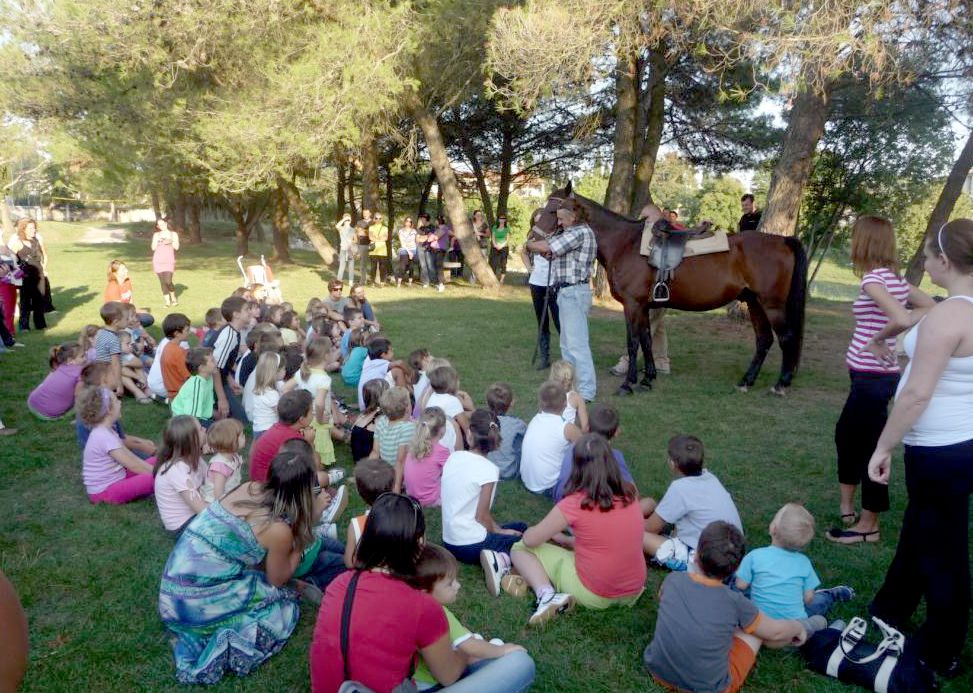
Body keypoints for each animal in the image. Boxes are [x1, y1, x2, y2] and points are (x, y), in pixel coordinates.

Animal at [532, 182, 804, 394]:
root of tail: (783, 241)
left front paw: (628, 383)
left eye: (554, 209)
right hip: (755, 303)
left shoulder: (632, 305)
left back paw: (780, 384)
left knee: (786, 338)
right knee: (764, 340)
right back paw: (746, 382)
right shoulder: (644, 306)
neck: (625, 243)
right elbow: (646, 339)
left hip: (772, 305)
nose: (532, 242)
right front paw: (648, 378)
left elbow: (633, 341)